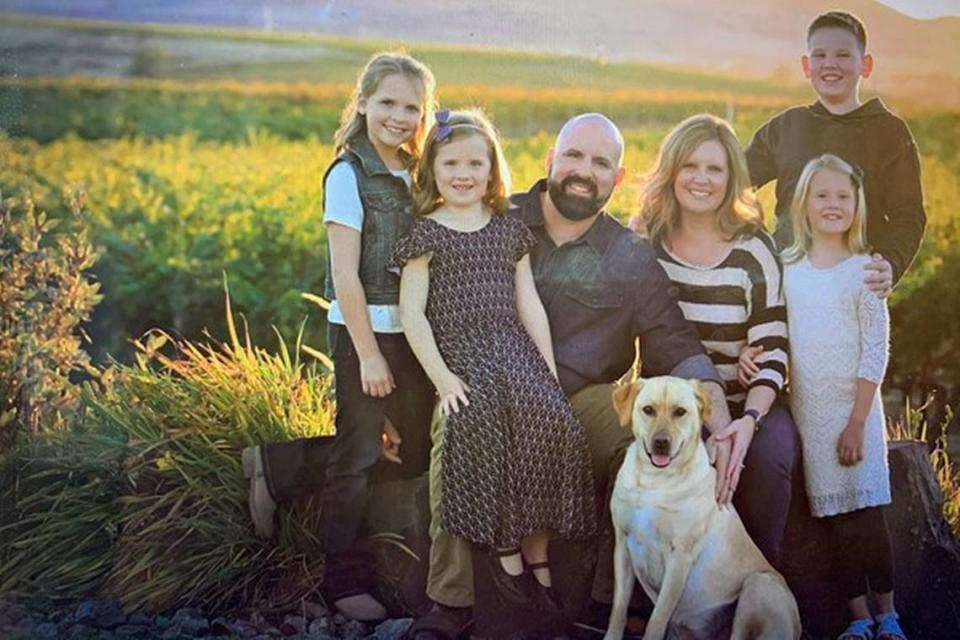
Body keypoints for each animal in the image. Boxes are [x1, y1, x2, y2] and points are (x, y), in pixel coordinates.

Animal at [604, 378, 800, 636]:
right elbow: (618, 610)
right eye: (648, 410)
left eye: (680, 412)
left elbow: (657, 619)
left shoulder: (679, 557)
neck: (653, 480)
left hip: (759, 584)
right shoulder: (623, 545)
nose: (661, 443)